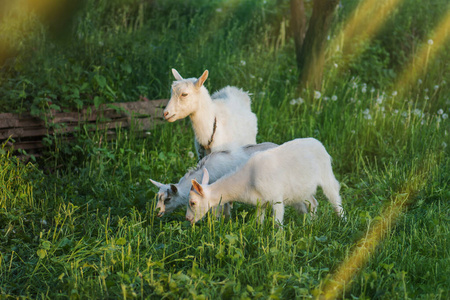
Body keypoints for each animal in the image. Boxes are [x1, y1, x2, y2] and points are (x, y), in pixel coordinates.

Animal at [186, 138, 344, 225]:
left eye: (192, 203)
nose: (188, 219)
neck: (247, 180)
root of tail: (317, 142)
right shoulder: (260, 203)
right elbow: (258, 222)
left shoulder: (276, 198)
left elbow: (278, 224)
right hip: (302, 189)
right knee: (313, 203)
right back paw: (312, 223)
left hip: (326, 173)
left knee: (334, 196)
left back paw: (343, 220)